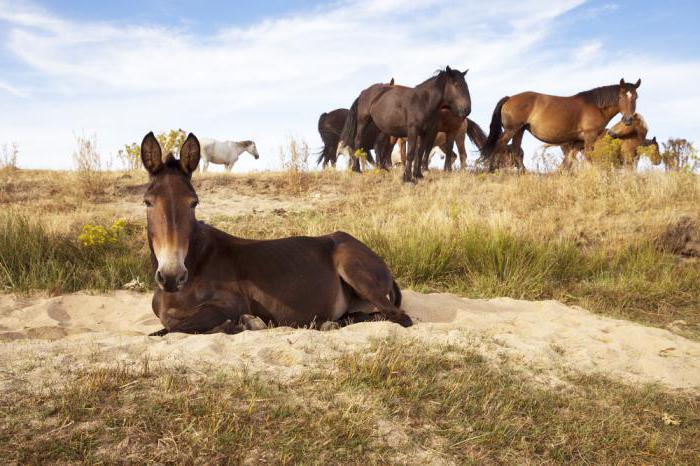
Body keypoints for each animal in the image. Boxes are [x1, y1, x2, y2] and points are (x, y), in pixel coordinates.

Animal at [139, 132, 410, 334]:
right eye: (147, 202)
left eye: (193, 203)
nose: (172, 276)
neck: (195, 262)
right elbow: (165, 328)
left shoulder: (231, 303)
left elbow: (174, 327)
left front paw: (244, 323)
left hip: (353, 268)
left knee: (398, 317)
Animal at [482, 78, 640, 173]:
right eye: (620, 96)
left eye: (636, 97)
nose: (628, 119)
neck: (595, 106)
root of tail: (509, 98)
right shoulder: (589, 136)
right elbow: (588, 157)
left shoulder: (576, 141)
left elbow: (569, 160)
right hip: (511, 130)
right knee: (498, 145)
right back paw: (491, 169)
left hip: (519, 130)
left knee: (515, 150)